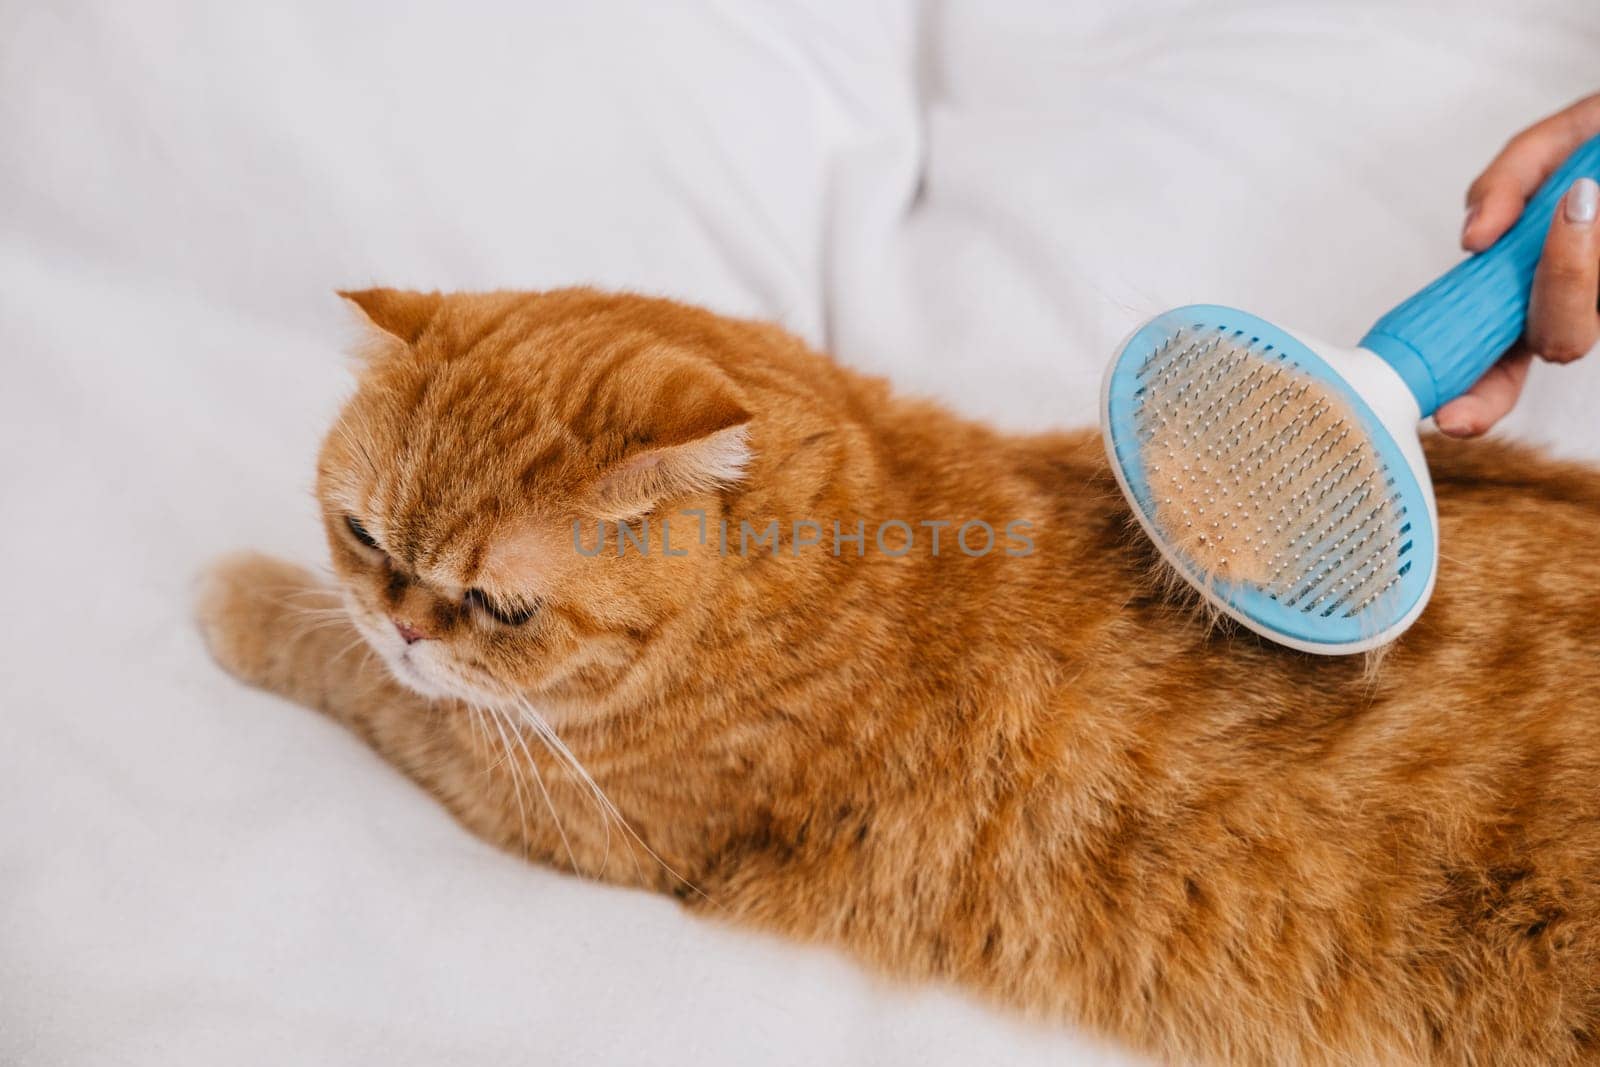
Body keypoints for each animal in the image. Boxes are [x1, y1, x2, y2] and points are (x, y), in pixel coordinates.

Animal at [203, 286, 1600, 1067]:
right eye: (364, 534)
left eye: (499, 605)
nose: (405, 623)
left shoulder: (571, 809)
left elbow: (362, 680)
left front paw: (246, 600)